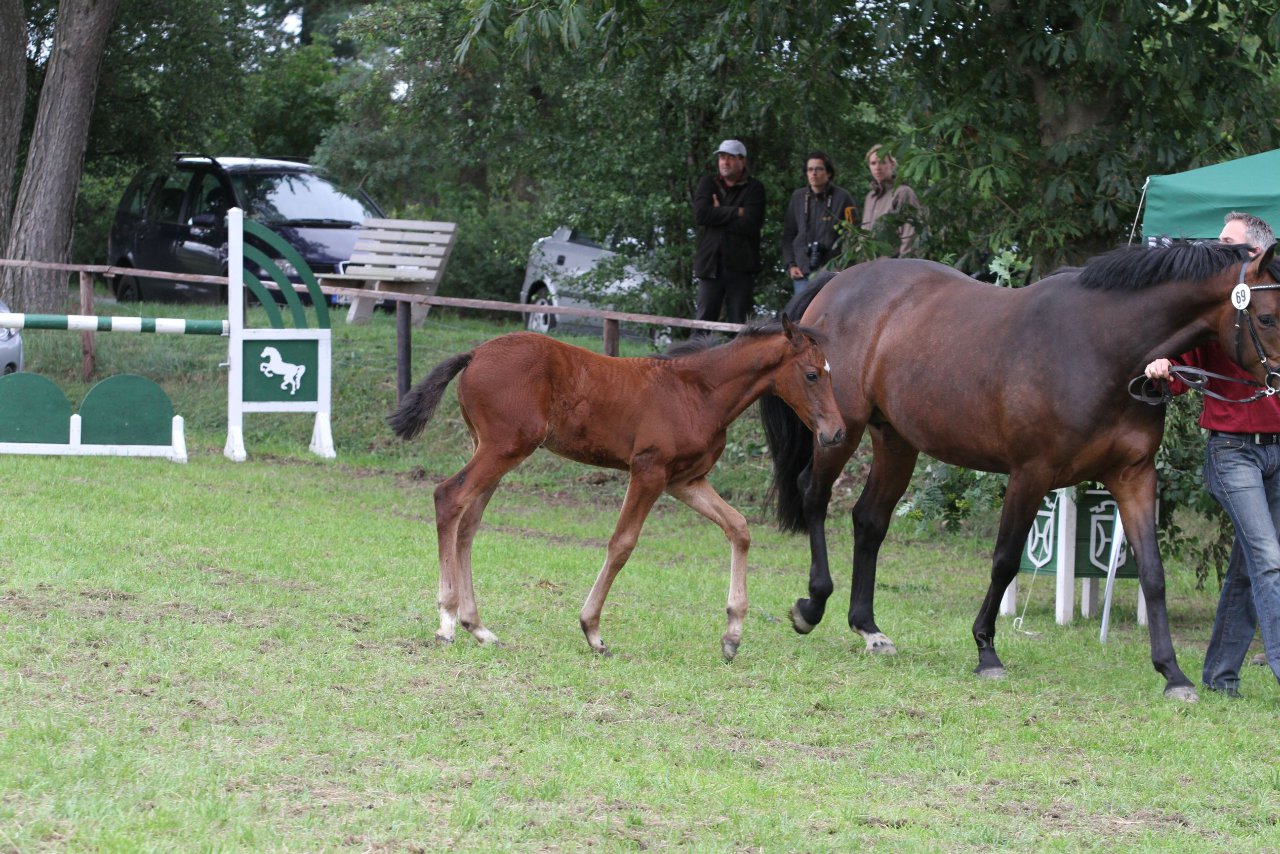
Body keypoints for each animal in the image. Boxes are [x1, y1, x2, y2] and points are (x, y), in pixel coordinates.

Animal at [394, 320, 844, 660]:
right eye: (811, 374)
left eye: (829, 371)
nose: (836, 433)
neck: (697, 392)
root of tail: (474, 354)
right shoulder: (648, 471)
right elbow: (622, 543)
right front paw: (592, 631)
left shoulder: (685, 481)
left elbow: (738, 527)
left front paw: (732, 635)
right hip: (503, 447)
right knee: (449, 497)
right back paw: (447, 621)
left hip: (494, 449)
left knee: (469, 520)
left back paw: (478, 627)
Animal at [757, 241, 1280, 701]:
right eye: (1267, 316)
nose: (1278, 387)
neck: (1102, 346)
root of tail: (837, 282)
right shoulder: (1032, 474)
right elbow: (1006, 560)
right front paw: (986, 651)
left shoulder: (1133, 476)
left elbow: (1153, 573)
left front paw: (1173, 673)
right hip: (839, 430)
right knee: (813, 496)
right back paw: (812, 605)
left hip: (896, 440)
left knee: (869, 521)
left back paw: (868, 628)